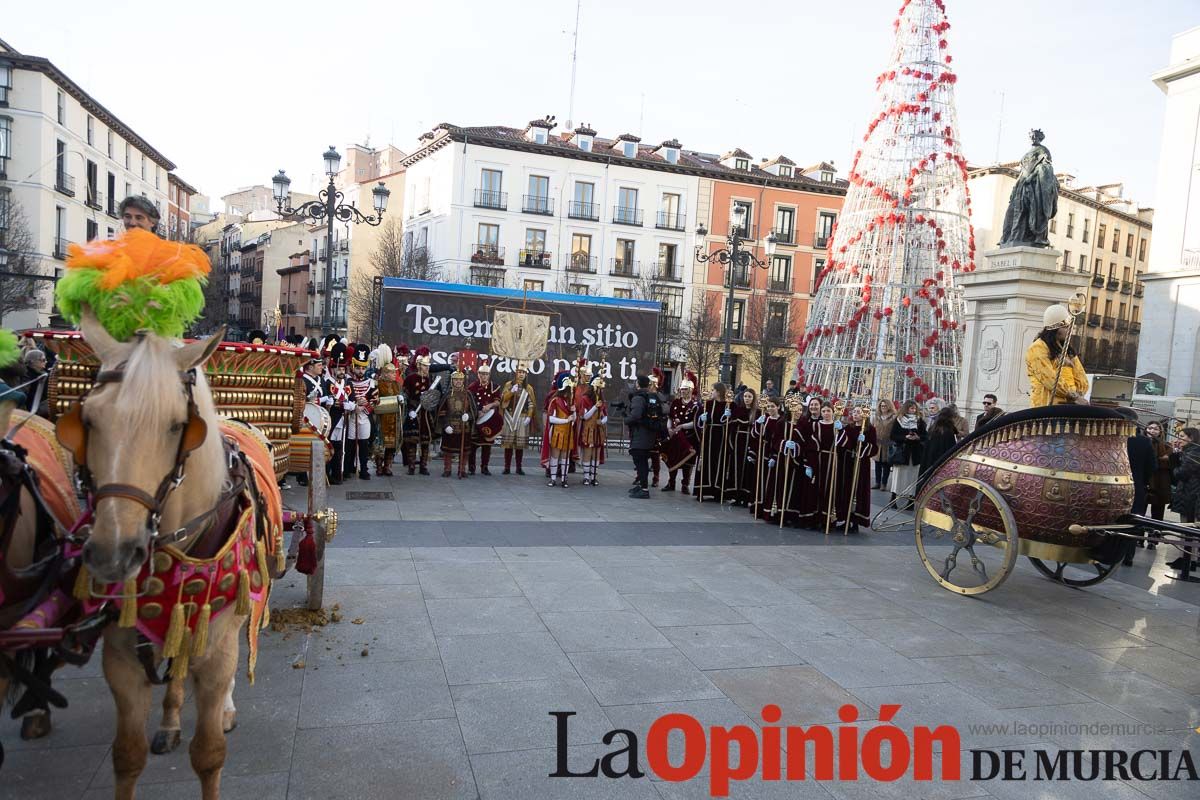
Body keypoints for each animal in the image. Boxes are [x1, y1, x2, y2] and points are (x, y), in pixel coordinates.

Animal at [66, 309, 274, 800]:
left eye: (178, 424)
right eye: (89, 419)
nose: (115, 553)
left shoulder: (216, 645)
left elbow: (209, 755)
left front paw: (217, 719)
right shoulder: (120, 658)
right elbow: (127, 756)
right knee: (176, 671)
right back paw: (171, 720)